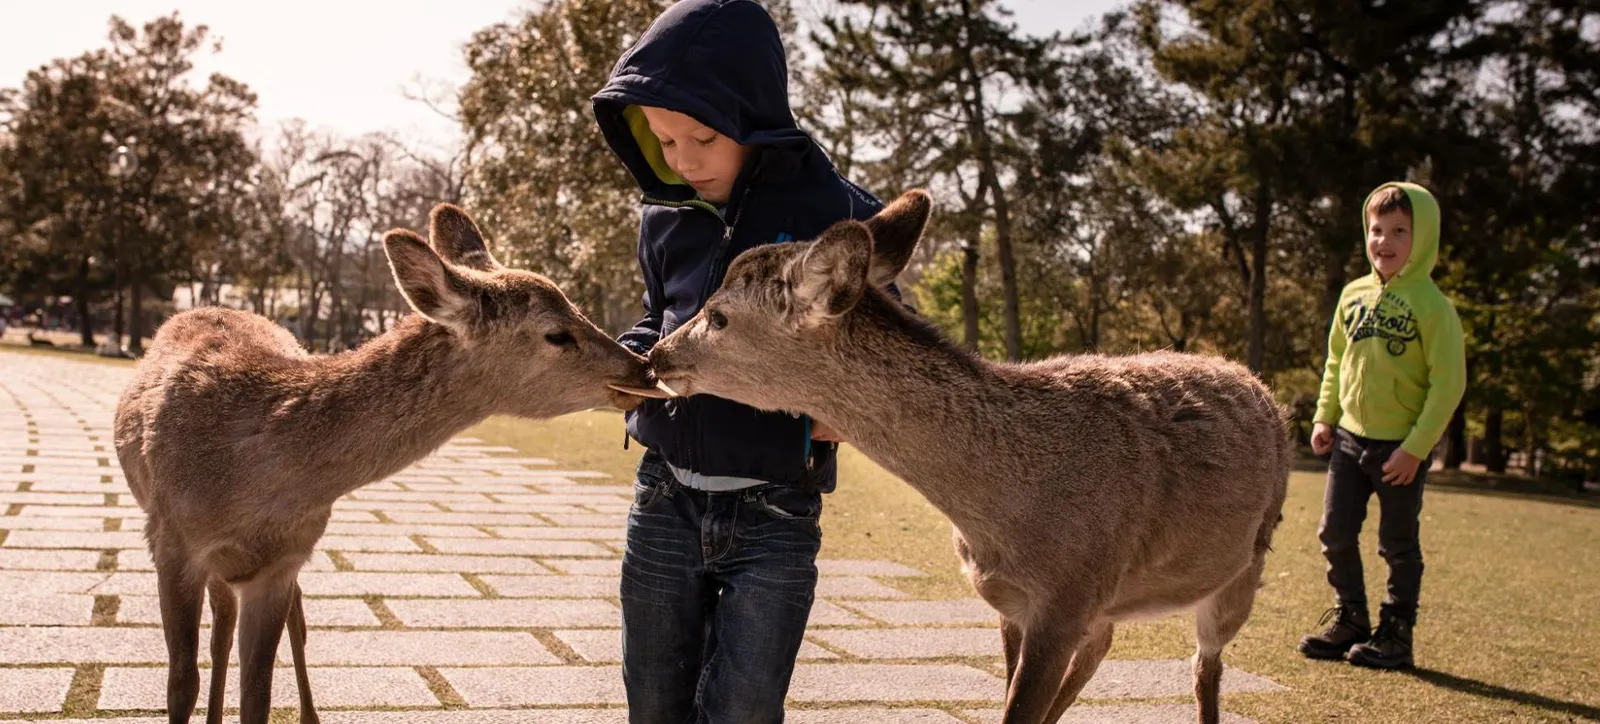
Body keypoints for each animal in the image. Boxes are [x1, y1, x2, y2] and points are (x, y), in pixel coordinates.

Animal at [113, 203, 655, 724]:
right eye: (557, 334)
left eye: (579, 308)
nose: (643, 367)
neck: (247, 475)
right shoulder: (170, 540)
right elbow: (180, 685)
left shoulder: (284, 561)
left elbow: (258, 697)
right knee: (221, 625)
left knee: (279, 620)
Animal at [622, 190, 1291, 724]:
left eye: (719, 316)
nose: (658, 354)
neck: (1009, 510)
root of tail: (1257, 384)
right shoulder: (1017, 603)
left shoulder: (1067, 596)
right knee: (1106, 643)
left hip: (1246, 566)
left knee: (1205, 663)